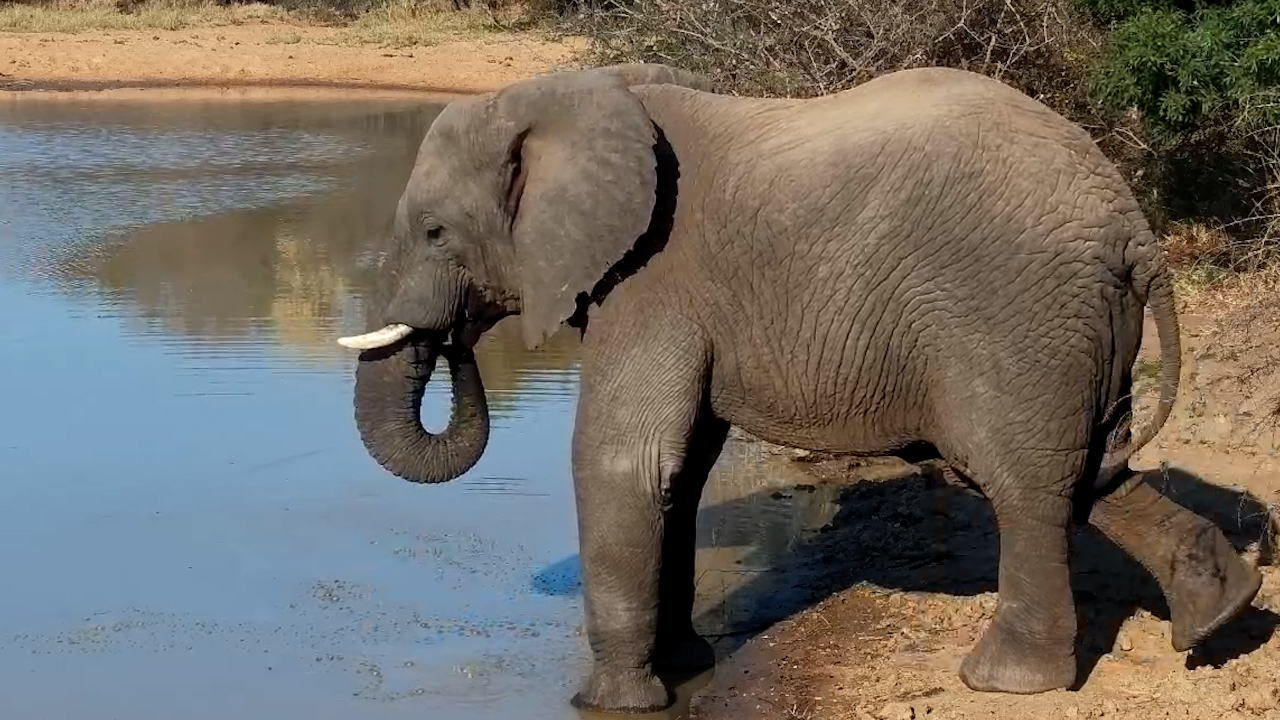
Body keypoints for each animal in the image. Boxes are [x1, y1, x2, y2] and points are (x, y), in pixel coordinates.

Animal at [336, 62, 1263, 713]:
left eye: (435, 232)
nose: (458, 338)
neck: (575, 93)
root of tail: (1134, 225)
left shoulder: (653, 279)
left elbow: (626, 461)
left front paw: (612, 703)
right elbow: (683, 468)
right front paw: (687, 667)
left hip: (1015, 315)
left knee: (1023, 481)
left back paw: (1004, 683)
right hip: (1073, 328)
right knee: (1092, 468)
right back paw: (1221, 615)